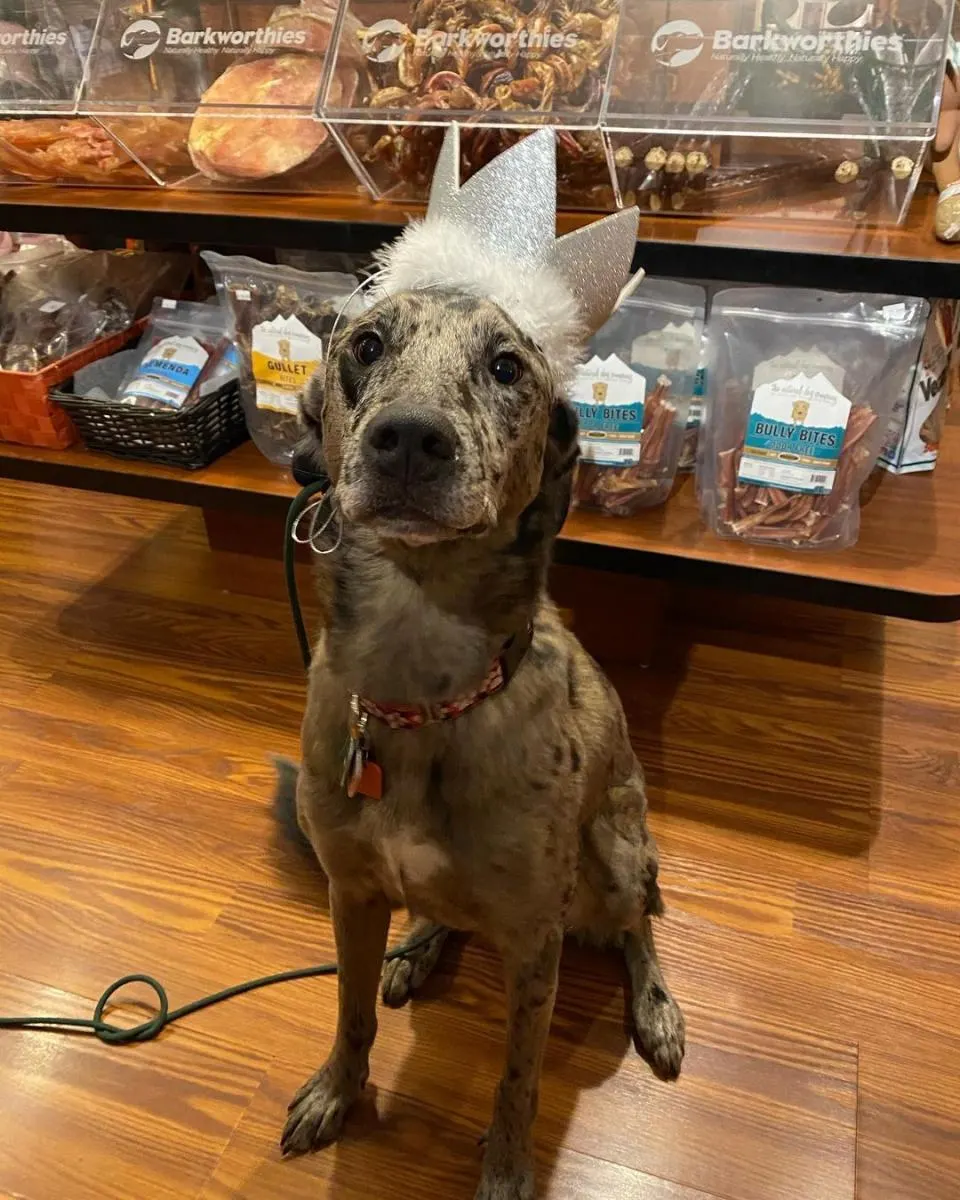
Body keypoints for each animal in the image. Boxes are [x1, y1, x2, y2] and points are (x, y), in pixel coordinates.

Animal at [280, 285, 686, 1195]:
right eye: (365, 345)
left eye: (507, 367)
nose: (408, 439)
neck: (419, 688)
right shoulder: (350, 893)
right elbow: (350, 1013)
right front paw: (335, 1093)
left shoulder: (536, 947)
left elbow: (518, 1080)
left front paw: (505, 1169)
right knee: (443, 914)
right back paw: (417, 946)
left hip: (617, 855)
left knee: (640, 923)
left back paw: (656, 1008)